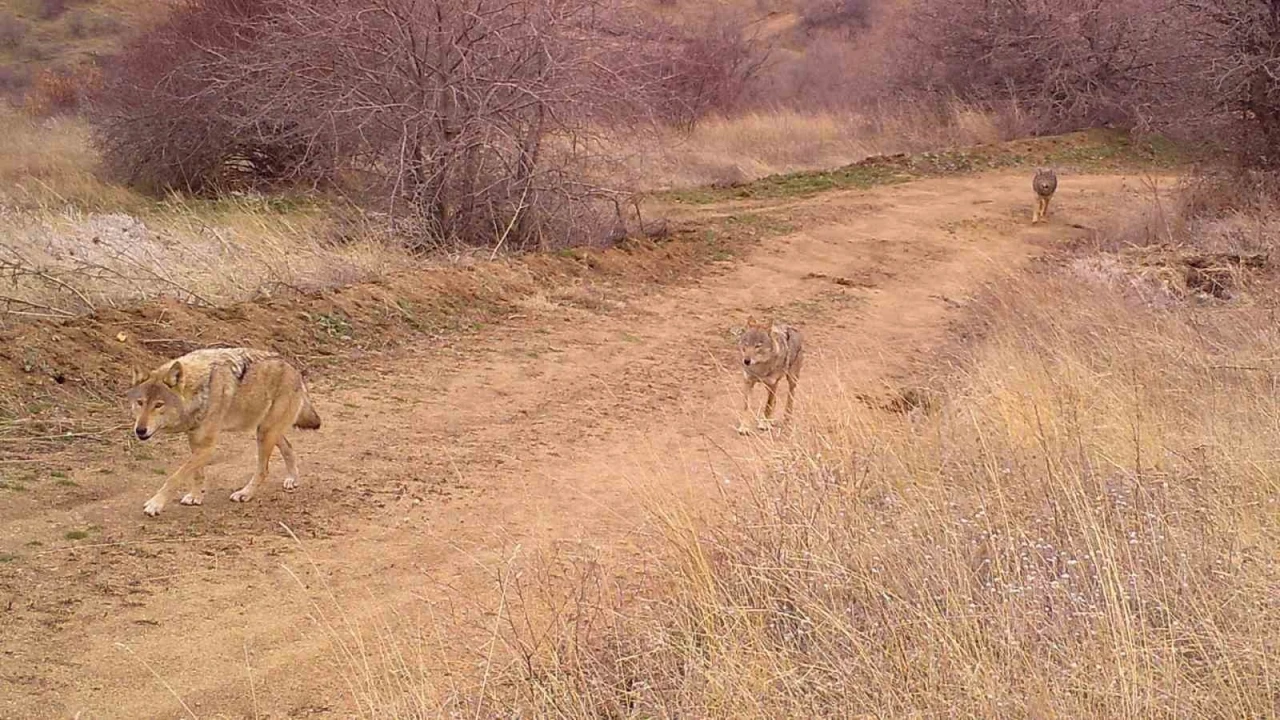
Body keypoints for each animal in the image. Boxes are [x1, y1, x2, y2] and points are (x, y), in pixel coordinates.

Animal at [125, 348, 322, 515]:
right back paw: (292, 479)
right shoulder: (195, 441)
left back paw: (245, 493)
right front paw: (195, 496)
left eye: (158, 405)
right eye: (140, 403)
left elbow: (175, 477)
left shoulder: (208, 447)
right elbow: (197, 474)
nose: (140, 430)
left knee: (264, 470)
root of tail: (296, 371)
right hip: (265, 430)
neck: (199, 390)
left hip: (265, 433)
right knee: (289, 448)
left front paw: (155, 504)